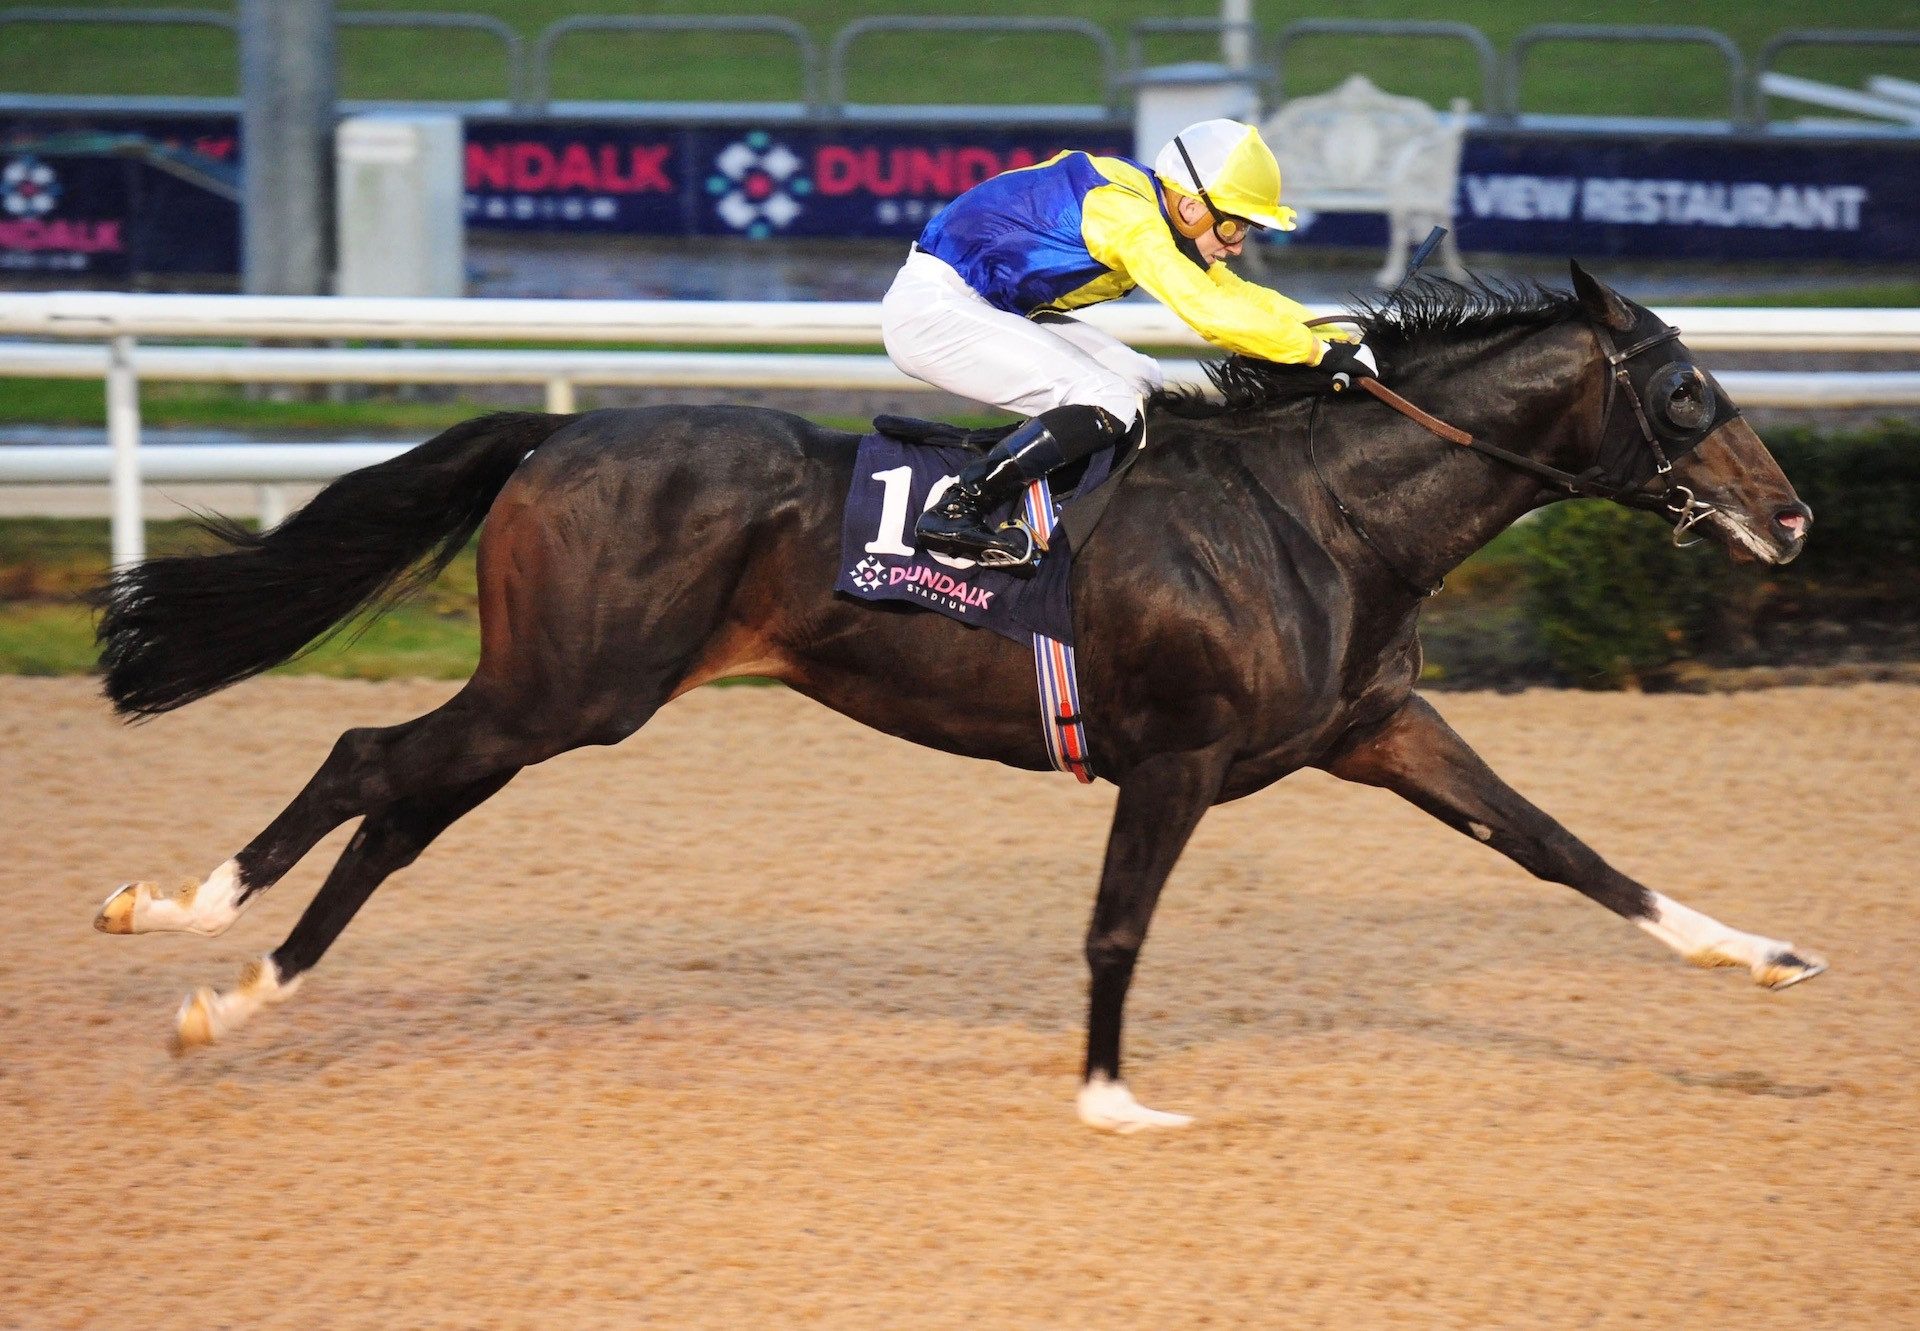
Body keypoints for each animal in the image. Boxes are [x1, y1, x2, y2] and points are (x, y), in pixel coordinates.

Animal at [93, 266, 1827, 1129]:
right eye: (1690, 392)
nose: (1797, 516)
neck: (1323, 512)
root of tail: (557, 430)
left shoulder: (1376, 727)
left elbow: (1568, 852)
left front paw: (1764, 955)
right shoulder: (1179, 755)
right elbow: (1117, 925)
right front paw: (1113, 1095)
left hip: (558, 692)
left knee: (401, 808)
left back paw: (238, 990)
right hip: (568, 687)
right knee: (366, 754)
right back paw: (176, 915)